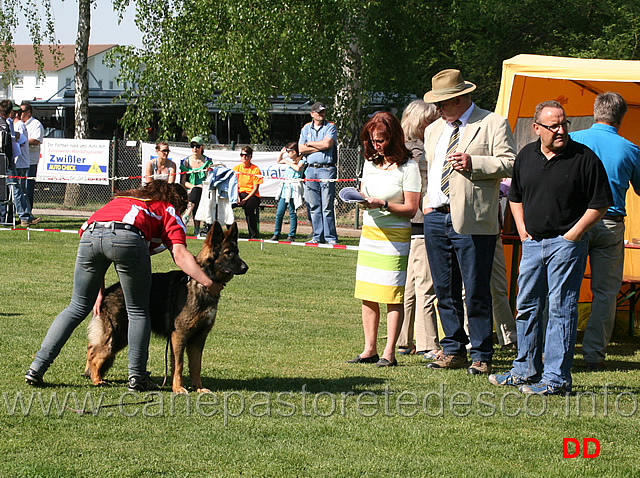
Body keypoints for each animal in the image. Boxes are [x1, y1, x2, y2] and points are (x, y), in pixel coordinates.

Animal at [83, 222, 248, 394]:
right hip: (117, 337)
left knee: (91, 348)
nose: (246, 267)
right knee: (95, 355)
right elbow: (179, 365)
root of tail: (106, 292)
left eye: (237, 252)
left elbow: (196, 366)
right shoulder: (179, 336)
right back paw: (97, 380)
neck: (201, 281)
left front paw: (199, 388)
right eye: (228, 253)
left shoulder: (198, 339)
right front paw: (178, 388)